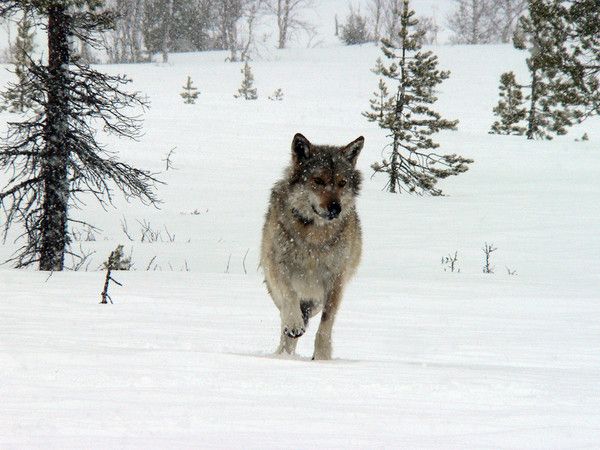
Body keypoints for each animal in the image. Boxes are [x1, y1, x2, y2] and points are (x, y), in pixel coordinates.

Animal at [260, 132, 364, 360]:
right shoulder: (279, 265)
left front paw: (323, 356)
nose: (335, 208)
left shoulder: (336, 278)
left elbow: (327, 321)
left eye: (342, 183)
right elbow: (290, 295)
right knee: (286, 318)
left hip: (316, 300)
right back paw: (284, 351)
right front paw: (294, 324)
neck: (314, 233)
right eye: (318, 180)